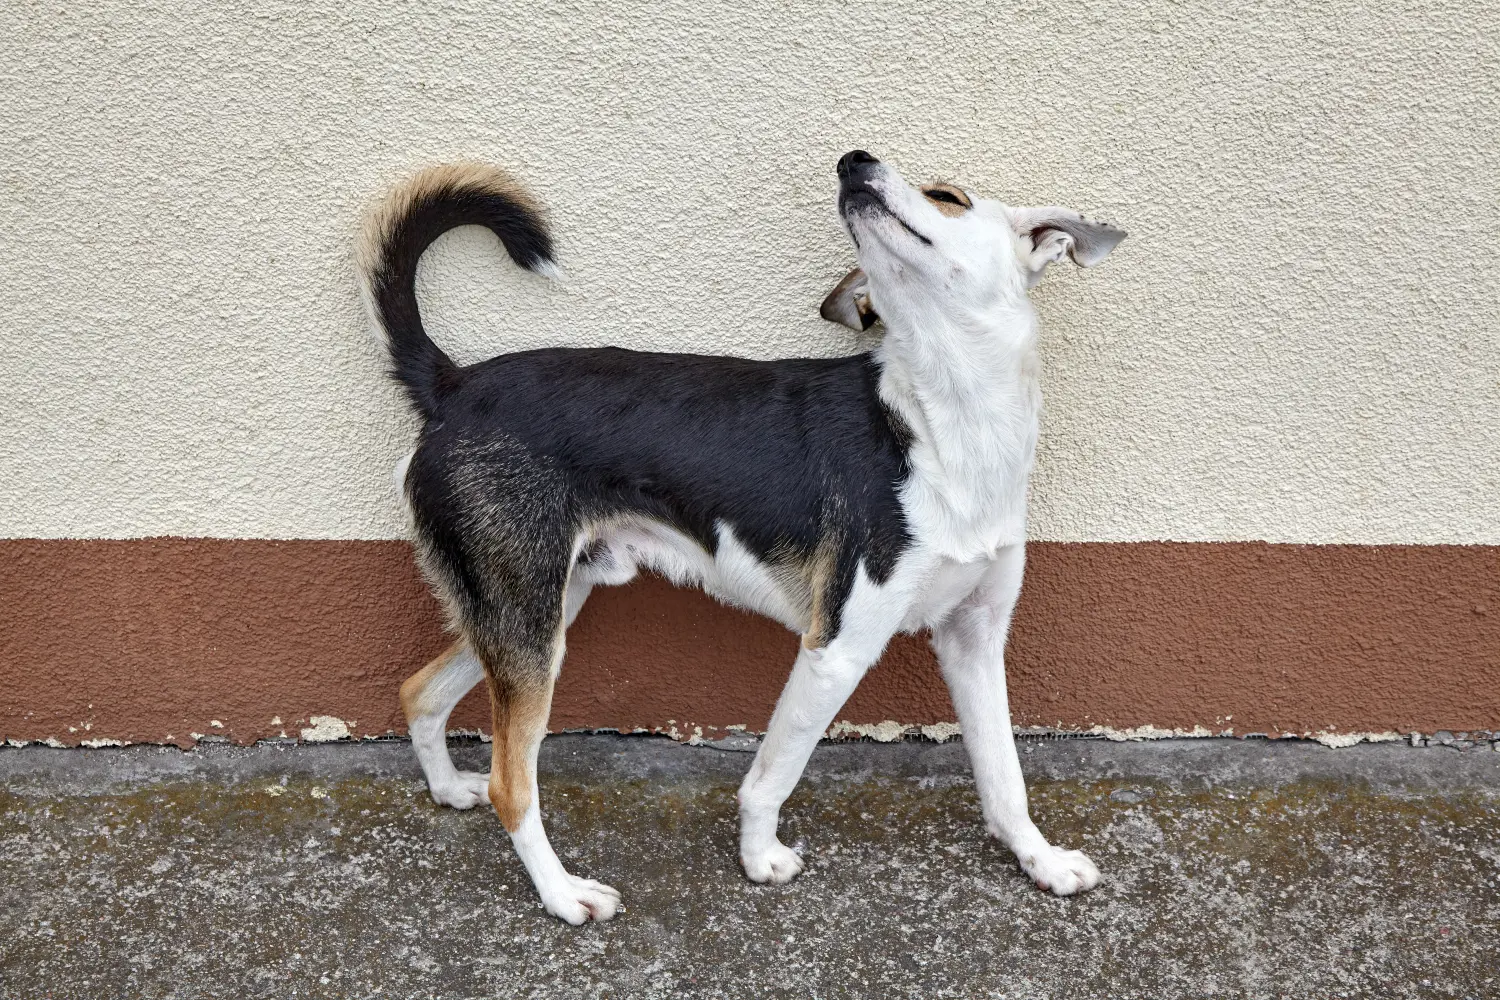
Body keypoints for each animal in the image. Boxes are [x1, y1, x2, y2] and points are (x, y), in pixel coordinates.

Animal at [354, 148, 1128, 923]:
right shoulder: (835, 650)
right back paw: (563, 894)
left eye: (950, 197)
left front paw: (1041, 861)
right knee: (510, 785)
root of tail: (455, 386)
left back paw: (448, 789)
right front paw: (759, 859)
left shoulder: (976, 638)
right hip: (530, 623)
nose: (853, 161)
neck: (946, 419)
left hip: (535, 609)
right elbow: (771, 776)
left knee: (422, 693)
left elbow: (1006, 777)